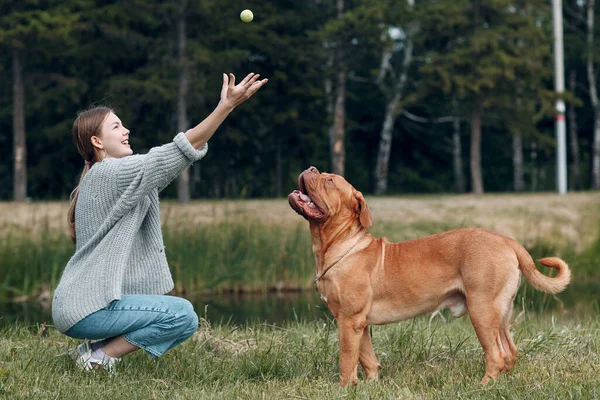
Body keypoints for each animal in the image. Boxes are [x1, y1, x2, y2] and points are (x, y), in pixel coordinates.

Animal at [290, 167, 572, 386]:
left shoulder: (349, 321)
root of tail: (506, 240)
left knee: (496, 355)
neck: (338, 244)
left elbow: (347, 359)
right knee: (510, 351)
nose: (311, 167)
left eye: (329, 180)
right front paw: (370, 384)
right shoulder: (360, 323)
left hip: (481, 309)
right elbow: (367, 357)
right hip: (500, 311)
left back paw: (483, 385)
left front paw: (345, 387)